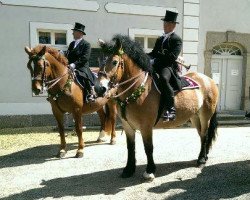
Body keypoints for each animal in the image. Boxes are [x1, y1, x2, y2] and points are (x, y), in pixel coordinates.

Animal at [97, 34, 219, 181]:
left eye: (114, 62)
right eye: (100, 60)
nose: (99, 88)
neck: (138, 89)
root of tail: (209, 80)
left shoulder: (146, 126)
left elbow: (148, 147)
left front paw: (150, 171)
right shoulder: (127, 126)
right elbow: (130, 147)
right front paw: (129, 169)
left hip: (205, 115)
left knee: (205, 135)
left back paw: (201, 160)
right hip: (195, 116)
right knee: (201, 135)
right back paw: (203, 157)